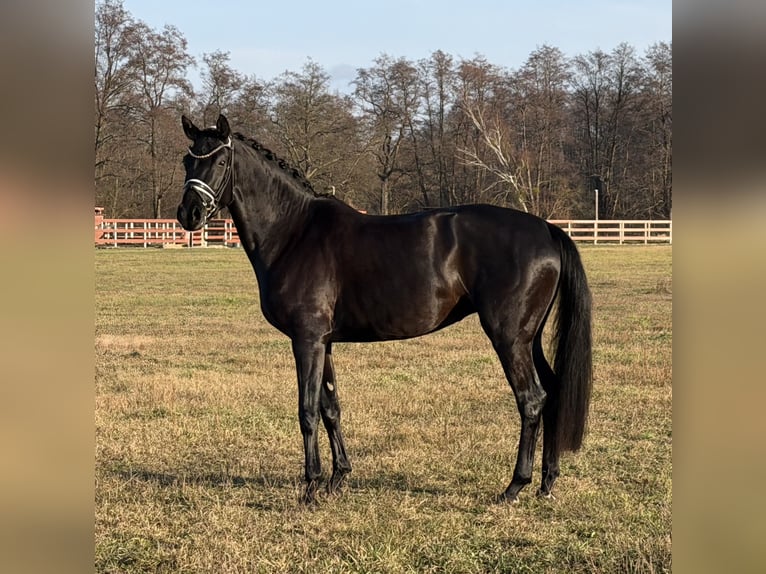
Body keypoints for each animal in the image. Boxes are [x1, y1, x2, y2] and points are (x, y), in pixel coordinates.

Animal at [176, 114, 592, 504]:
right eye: (187, 160)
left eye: (219, 160)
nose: (188, 214)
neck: (294, 232)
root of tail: (547, 229)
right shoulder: (324, 342)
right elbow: (330, 407)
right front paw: (337, 479)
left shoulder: (306, 340)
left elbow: (307, 410)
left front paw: (310, 487)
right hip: (529, 337)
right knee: (552, 392)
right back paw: (547, 482)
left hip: (509, 337)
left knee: (531, 399)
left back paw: (515, 486)